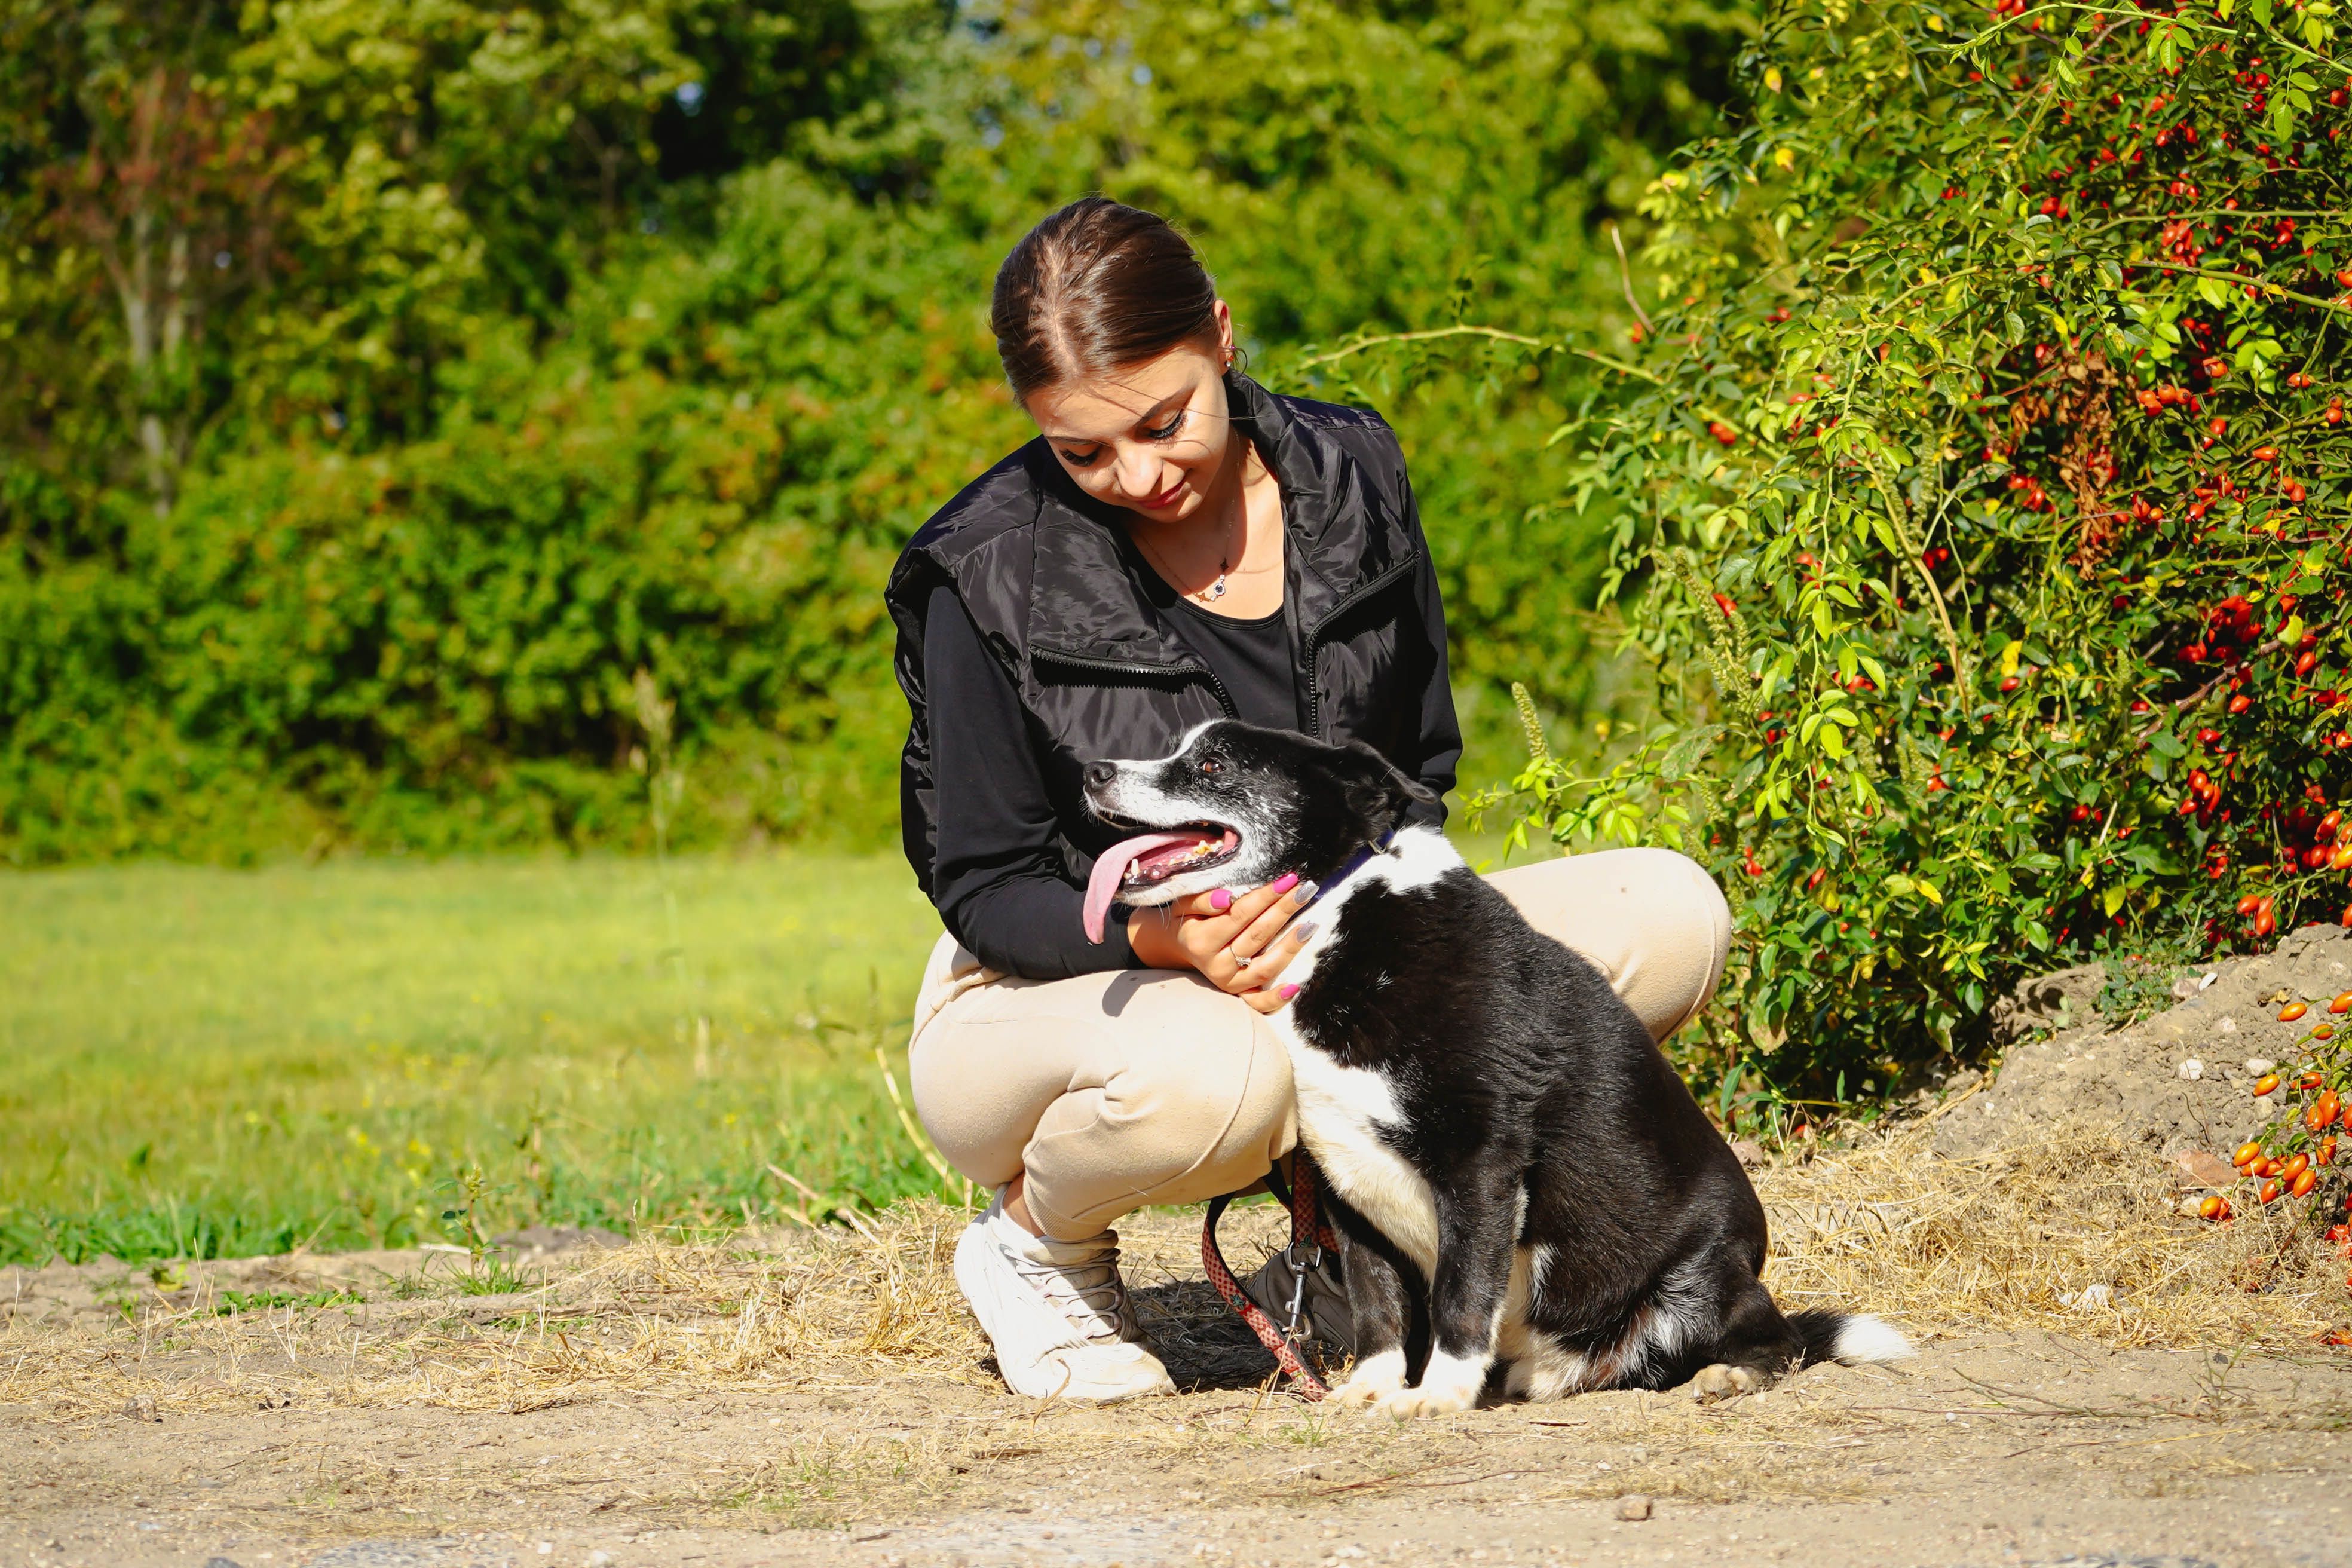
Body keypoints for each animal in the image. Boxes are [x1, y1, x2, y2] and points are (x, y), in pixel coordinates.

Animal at [1082, 724, 1910, 1420]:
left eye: (1215, 765)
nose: (1091, 770)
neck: (1339, 911)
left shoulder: (1480, 1162)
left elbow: (1461, 1293)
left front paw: (1438, 1394)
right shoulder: (1345, 1185)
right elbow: (1379, 1304)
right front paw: (1372, 1387)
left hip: (1700, 1278)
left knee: (1781, 1340)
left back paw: (1729, 1372)